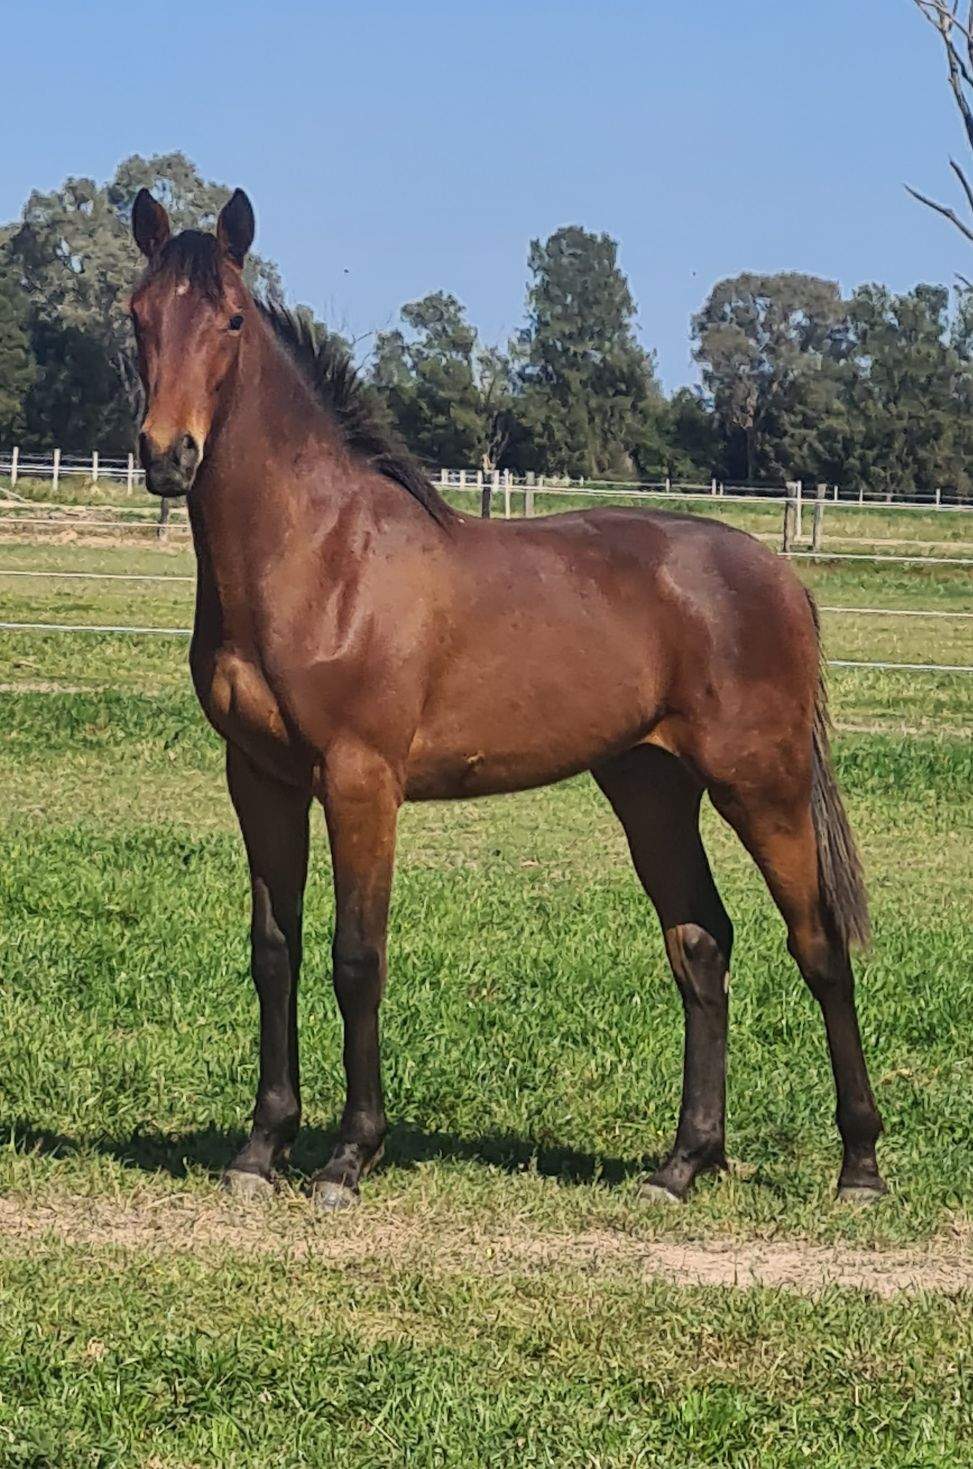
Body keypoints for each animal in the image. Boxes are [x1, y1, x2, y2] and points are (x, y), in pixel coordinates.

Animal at [127, 186, 886, 1210]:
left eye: (233, 321)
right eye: (137, 316)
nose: (168, 455)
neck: (320, 556)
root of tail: (777, 574)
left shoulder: (361, 781)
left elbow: (356, 956)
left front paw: (347, 1155)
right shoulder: (260, 778)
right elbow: (273, 949)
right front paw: (260, 1148)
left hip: (759, 786)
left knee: (818, 946)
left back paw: (859, 1166)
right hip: (650, 787)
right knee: (700, 944)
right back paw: (681, 1163)